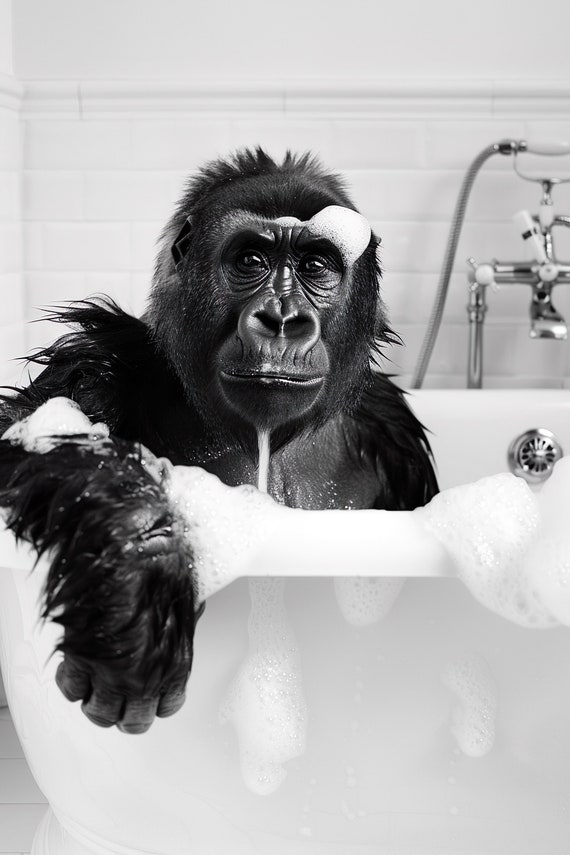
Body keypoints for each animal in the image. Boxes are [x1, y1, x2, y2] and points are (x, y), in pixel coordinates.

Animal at [0, 148, 437, 734]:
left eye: (316, 266)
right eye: (251, 259)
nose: (282, 319)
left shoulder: (394, 433)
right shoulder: (98, 361)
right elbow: (30, 433)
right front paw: (140, 571)